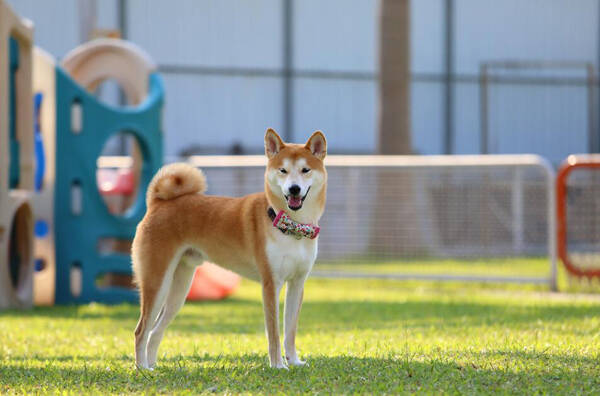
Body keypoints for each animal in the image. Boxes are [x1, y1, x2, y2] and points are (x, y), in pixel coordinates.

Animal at [132, 128, 328, 370]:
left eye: (305, 170)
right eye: (283, 170)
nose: (294, 189)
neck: (293, 227)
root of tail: (158, 203)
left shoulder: (297, 283)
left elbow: (290, 330)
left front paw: (294, 361)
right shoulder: (271, 284)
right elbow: (273, 332)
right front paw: (278, 365)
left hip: (178, 289)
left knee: (155, 330)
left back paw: (152, 366)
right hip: (157, 281)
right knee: (141, 330)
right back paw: (142, 368)